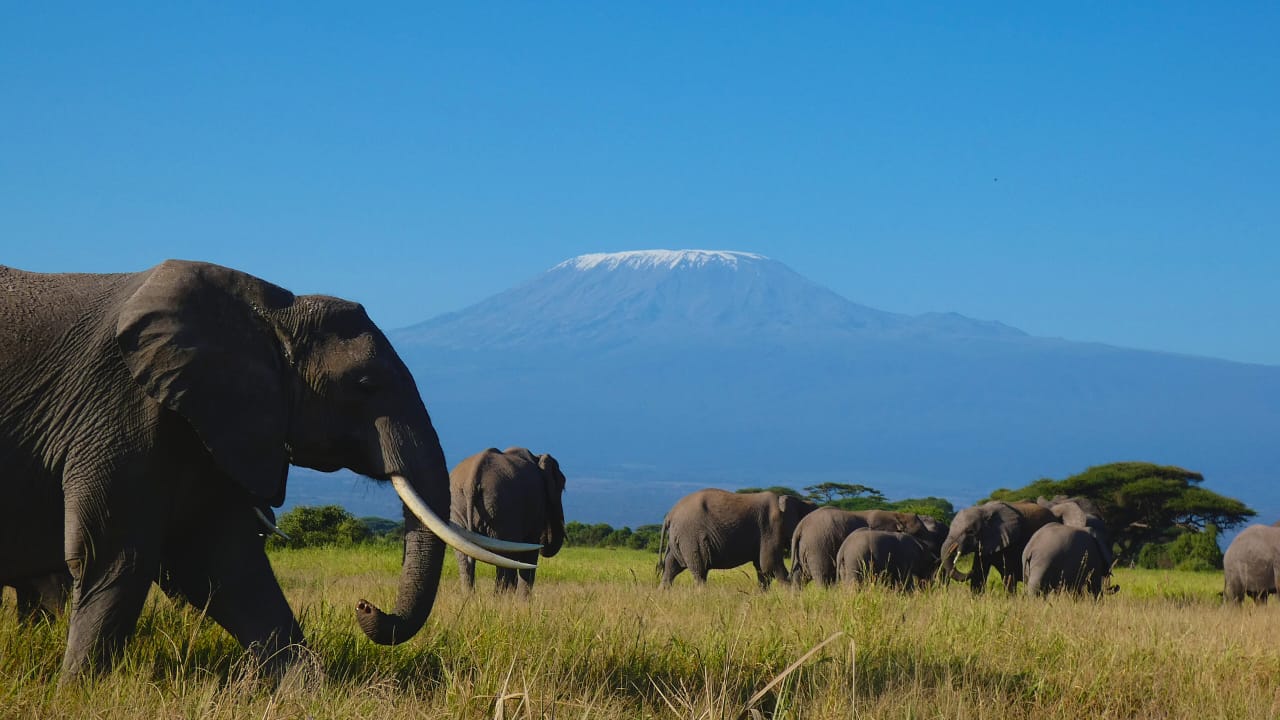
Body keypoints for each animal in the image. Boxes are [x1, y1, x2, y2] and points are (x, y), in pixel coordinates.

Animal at [0, 260, 538, 682]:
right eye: (366, 384)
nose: (366, 606)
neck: (270, 313)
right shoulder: (120, 408)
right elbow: (116, 556)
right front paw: (78, 691)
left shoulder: (211, 419)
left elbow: (225, 563)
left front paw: (306, 691)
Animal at [450, 447, 567, 595]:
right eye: (562, 487)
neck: (537, 458)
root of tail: (471, 480)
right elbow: (530, 550)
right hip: (503, 508)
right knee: (506, 558)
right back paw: (502, 599)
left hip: (459, 506)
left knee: (465, 558)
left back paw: (470, 598)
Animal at [659, 488, 818, 589]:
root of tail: (670, 515)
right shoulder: (771, 526)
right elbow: (769, 564)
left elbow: (762, 569)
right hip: (691, 535)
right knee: (699, 569)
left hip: (680, 537)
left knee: (671, 566)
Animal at [789, 508, 929, 587]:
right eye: (918, 533)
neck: (898, 516)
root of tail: (801, 526)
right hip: (818, 546)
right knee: (822, 578)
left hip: (805, 547)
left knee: (799, 578)